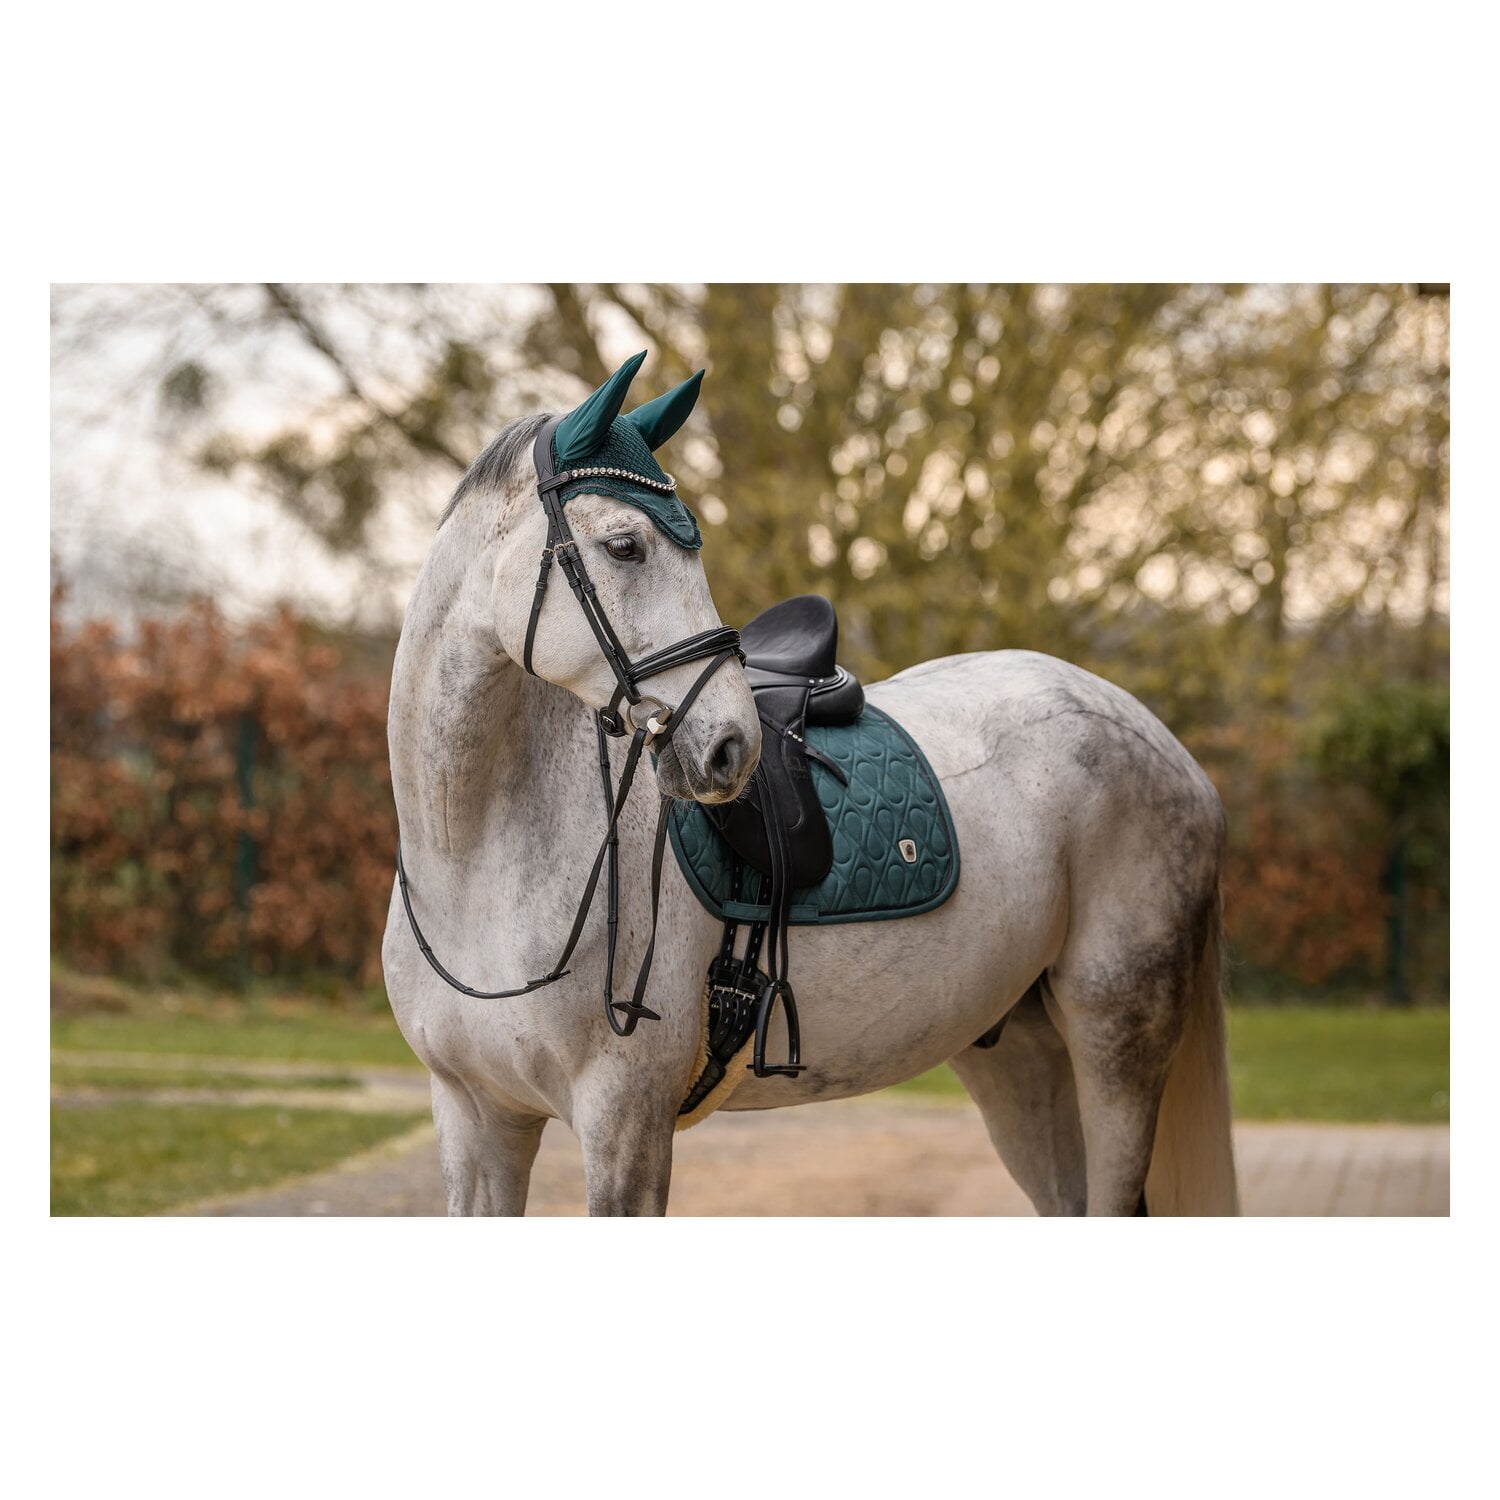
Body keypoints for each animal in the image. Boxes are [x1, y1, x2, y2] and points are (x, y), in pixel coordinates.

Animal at [382, 368, 1238, 1217]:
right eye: (625, 546)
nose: (731, 748)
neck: (476, 866)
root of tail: (1156, 739)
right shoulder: (476, 1121)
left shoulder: (625, 1126)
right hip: (1021, 1054)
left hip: (1117, 1036)